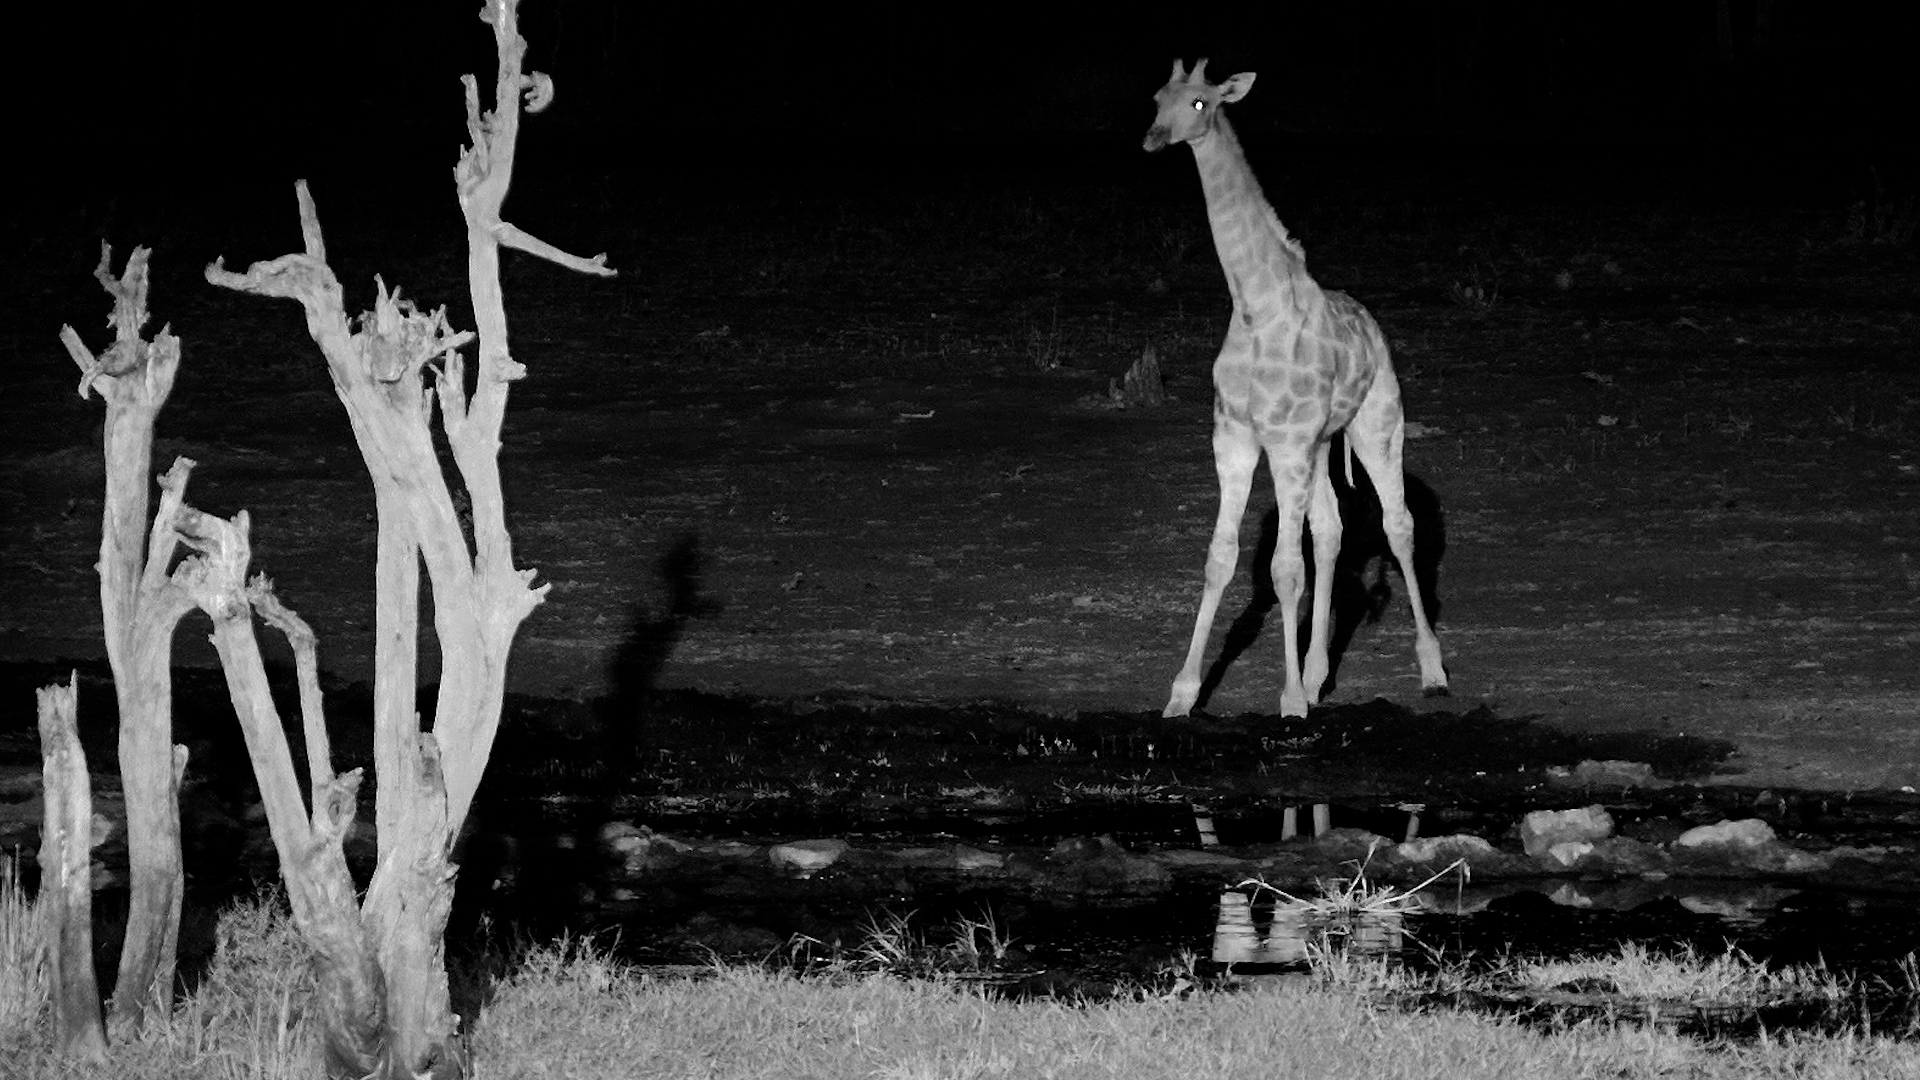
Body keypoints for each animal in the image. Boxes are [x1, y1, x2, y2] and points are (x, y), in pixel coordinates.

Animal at [1144, 58, 1448, 718]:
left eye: (1202, 103)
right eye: (1158, 97)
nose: (1154, 137)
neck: (1255, 307)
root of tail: (1372, 324)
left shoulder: (1284, 442)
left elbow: (1285, 569)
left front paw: (1286, 702)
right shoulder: (1235, 438)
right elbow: (1221, 559)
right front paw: (1182, 695)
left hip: (1377, 424)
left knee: (1399, 525)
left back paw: (1433, 671)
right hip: (1319, 446)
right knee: (1332, 530)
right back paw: (1315, 676)